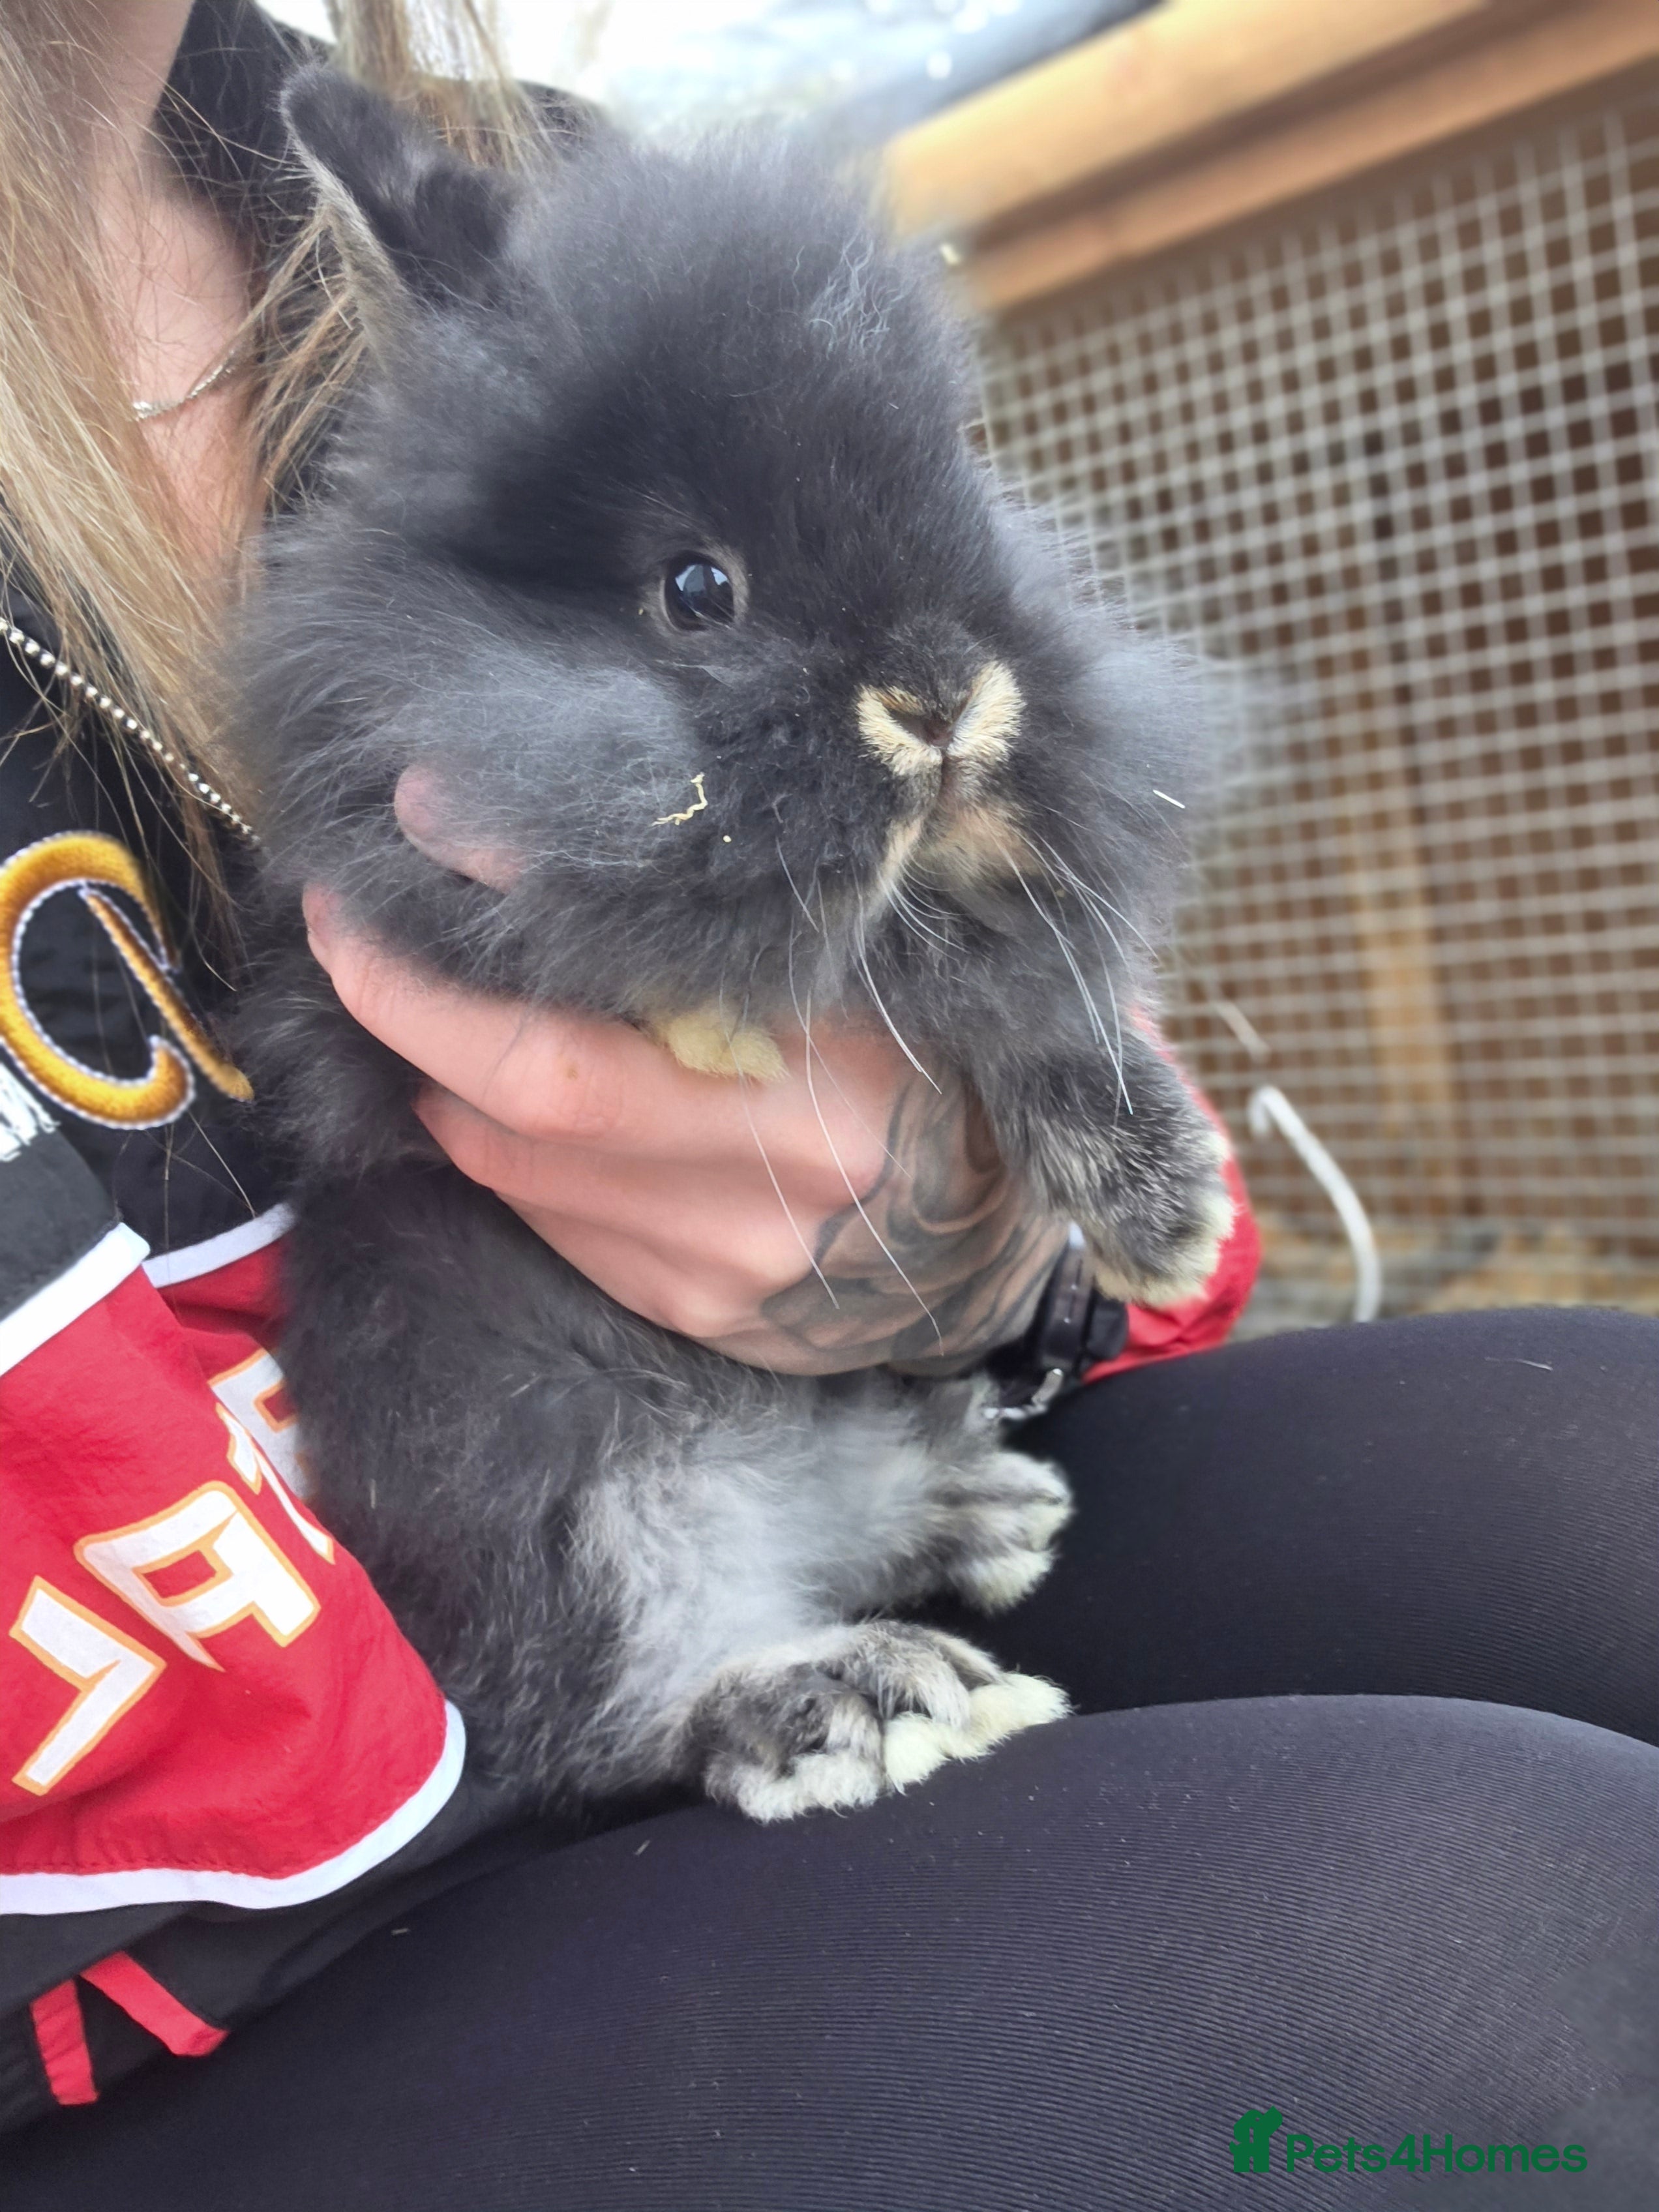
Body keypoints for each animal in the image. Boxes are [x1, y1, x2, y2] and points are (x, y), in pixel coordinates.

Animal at [229, 68, 1235, 1823]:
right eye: (697, 588)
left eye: (964, 496)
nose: (945, 691)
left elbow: (1021, 986)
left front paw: (1162, 1210)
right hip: (534, 1459)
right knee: (602, 1703)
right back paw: (853, 1697)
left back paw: (977, 1509)